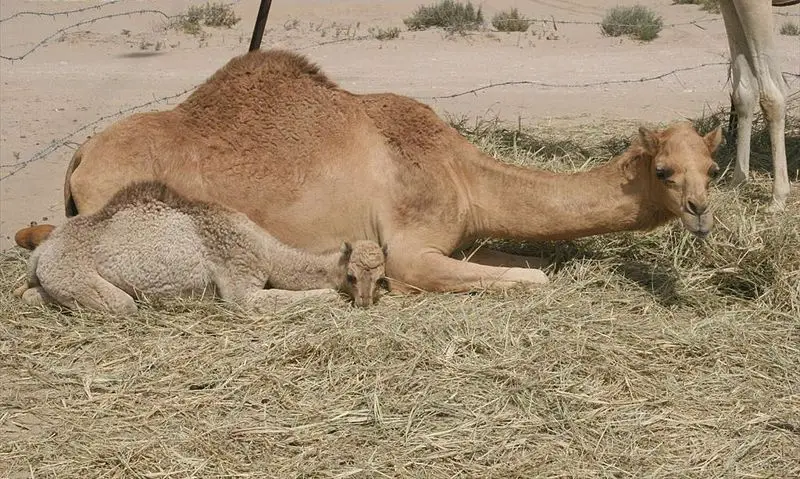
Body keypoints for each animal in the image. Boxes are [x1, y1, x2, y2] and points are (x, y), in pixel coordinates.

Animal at [13, 181, 389, 314]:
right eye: (352, 276)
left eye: (380, 279)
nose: (365, 301)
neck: (267, 252)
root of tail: (43, 251)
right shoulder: (239, 280)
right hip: (71, 272)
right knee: (120, 304)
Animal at [16, 50, 722, 293]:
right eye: (664, 170)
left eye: (712, 168)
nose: (702, 213)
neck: (461, 172)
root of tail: (82, 154)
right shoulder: (410, 244)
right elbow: (533, 280)